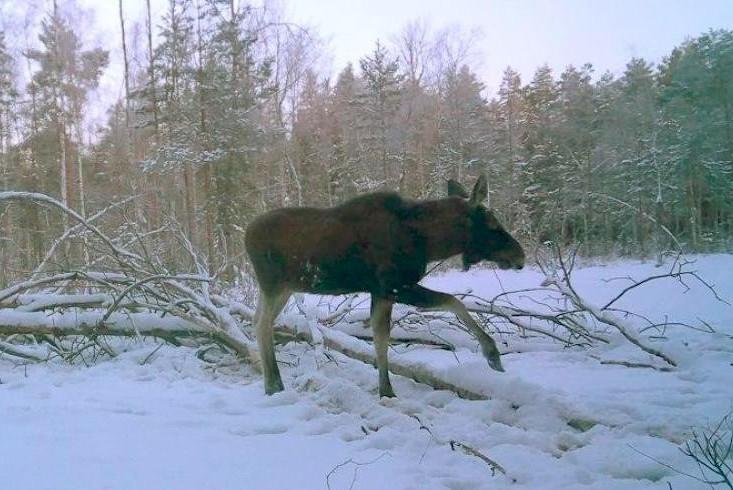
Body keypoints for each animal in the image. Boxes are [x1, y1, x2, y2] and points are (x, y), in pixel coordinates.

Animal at [246, 176, 528, 398]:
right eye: (492, 224)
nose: (520, 255)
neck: (429, 242)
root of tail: (245, 235)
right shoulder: (396, 286)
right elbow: (453, 301)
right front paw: (492, 353)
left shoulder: (382, 292)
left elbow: (380, 338)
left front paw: (385, 390)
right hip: (273, 285)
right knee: (262, 325)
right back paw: (273, 383)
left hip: (284, 289)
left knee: (258, 321)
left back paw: (271, 382)